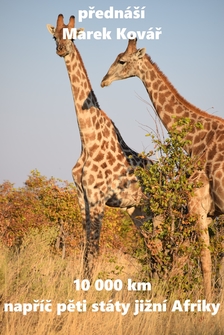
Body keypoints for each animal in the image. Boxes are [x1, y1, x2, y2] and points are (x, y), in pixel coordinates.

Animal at [47, 15, 152, 278]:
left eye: (73, 37)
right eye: (54, 36)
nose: (61, 49)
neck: (87, 138)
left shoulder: (97, 198)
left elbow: (93, 250)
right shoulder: (82, 197)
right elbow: (86, 249)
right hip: (137, 210)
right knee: (153, 246)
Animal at [101, 37, 224, 300]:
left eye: (122, 61)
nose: (103, 80)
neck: (195, 141)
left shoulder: (197, 207)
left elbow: (204, 262)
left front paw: (207, 303)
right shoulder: (210, 212)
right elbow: (185, 258)